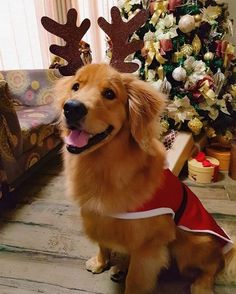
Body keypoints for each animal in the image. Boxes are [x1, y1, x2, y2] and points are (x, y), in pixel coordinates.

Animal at [55, 63, 236, 292]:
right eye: (76, 86)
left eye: (109, 93)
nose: (71, 108)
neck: (103, 167)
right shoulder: (98, 217)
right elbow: (103, 244)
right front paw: (101, 262)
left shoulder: (148, 244)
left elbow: (135, 279)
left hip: (193, 243)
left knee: (214, 266)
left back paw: (202, 285)